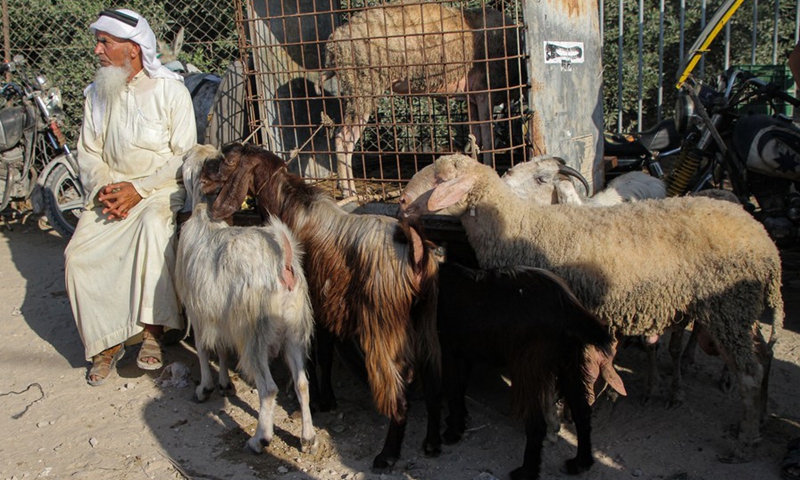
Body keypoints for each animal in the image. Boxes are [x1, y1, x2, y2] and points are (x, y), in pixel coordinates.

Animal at [177, 145, 318, 454]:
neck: (205, 218)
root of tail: (283, 264)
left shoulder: (198, 311)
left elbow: (203, 349)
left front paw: (205, 388)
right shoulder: (220, 316)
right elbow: (220, 349)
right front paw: (224, 383)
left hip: (256, 334)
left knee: (268, 388)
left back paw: (260, 438)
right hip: (294, 328)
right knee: (302, 383)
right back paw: (307, 437)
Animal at [198, 141, 440, 470]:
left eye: (228, 160)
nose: (202, 174)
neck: (290, 209)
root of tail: (415, 255)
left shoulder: (311, 309)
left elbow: (315, 357)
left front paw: (317, 401)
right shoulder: (325, 310)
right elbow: (324, 353)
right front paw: (327, 399)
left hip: (381, 328)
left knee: (399, 396)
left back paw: (387, 455)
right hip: (425, 320)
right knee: (434, 381)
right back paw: (433, 442)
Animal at [434, 262, 620, 480]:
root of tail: (568, 306)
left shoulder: (448, 352)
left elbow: (454, 391)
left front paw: (453, 431)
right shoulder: (463, 354)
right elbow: (460, 387)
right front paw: (459, 420)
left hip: (529, 367)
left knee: (537, 425)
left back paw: (527, 471)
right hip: (570, 363)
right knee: (582, 412)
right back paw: (580, 463)